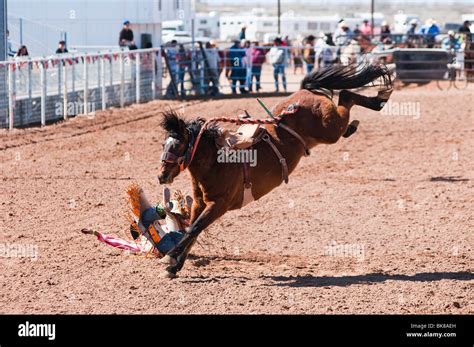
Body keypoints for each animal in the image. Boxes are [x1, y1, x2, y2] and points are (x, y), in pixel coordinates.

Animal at [156, 61, 392, 278]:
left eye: (177, 146)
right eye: (163, 145)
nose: (161, 175)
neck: (216, 161)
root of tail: (304, 91)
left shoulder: (219, 204)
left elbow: (194, 229)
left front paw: (169, 257)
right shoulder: (200, 203)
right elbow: (192, 230)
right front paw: (174, 266)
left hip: (330, 129)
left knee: (345, 96)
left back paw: (380, 99)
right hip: (330, 130)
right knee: (345, 102)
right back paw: (363, 115)